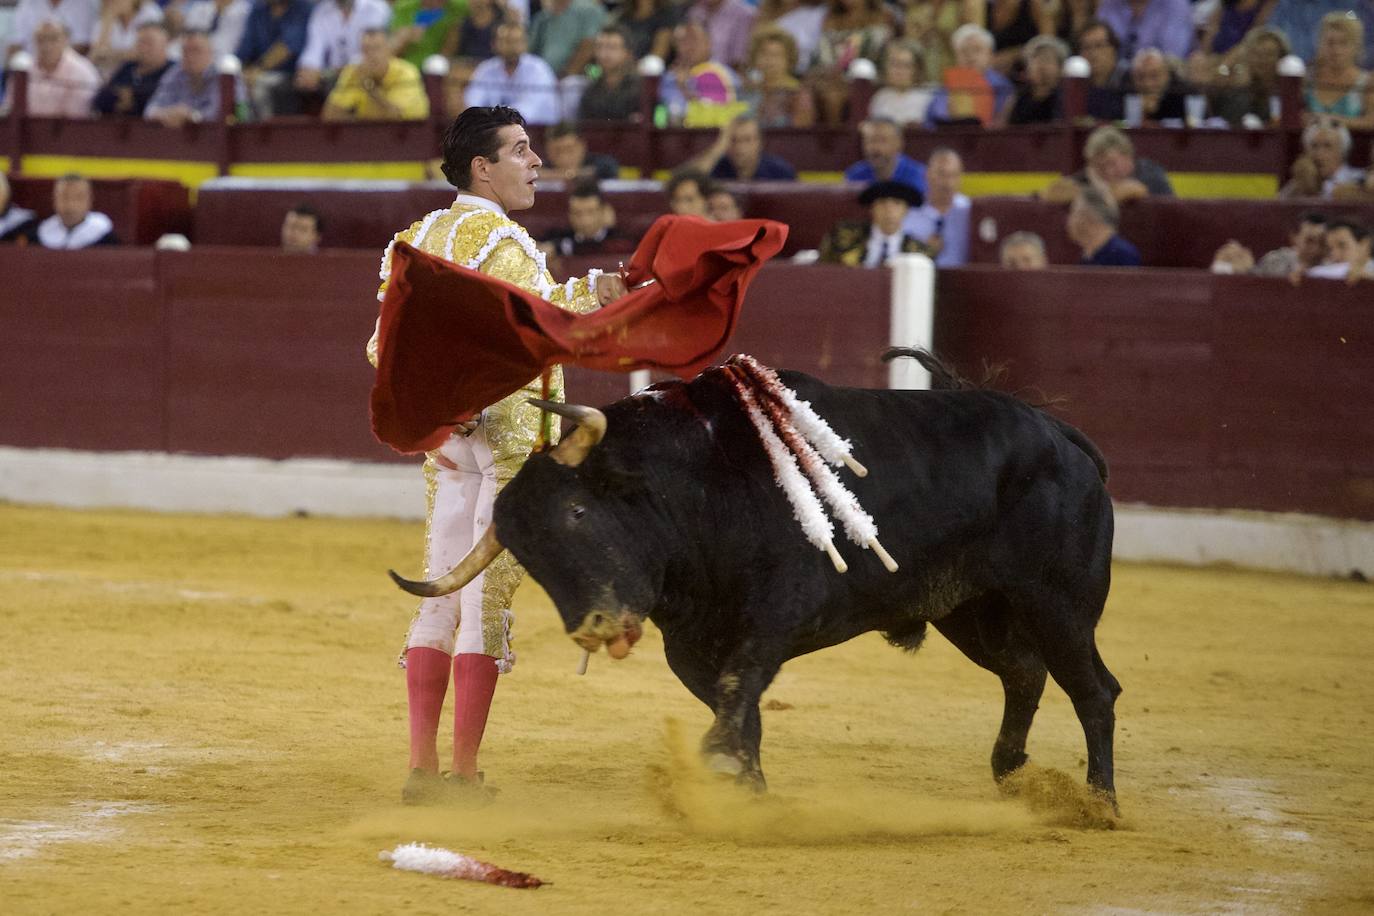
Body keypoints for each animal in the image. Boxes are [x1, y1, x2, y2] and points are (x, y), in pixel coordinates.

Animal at [392, 347, 1121, 807]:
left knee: (1093, 690)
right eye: (528, 557)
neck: (696, 488)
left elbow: (738, 691)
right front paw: (748, 785)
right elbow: (737, 709)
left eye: (577, 510)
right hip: (969, 611)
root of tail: (1064, 437)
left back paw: (1100, 802)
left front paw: (721, 770)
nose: (597, 626)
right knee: (1024, 673)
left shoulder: (775, 615)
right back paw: (1012, 773)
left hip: (1057, 604)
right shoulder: (688, 644)